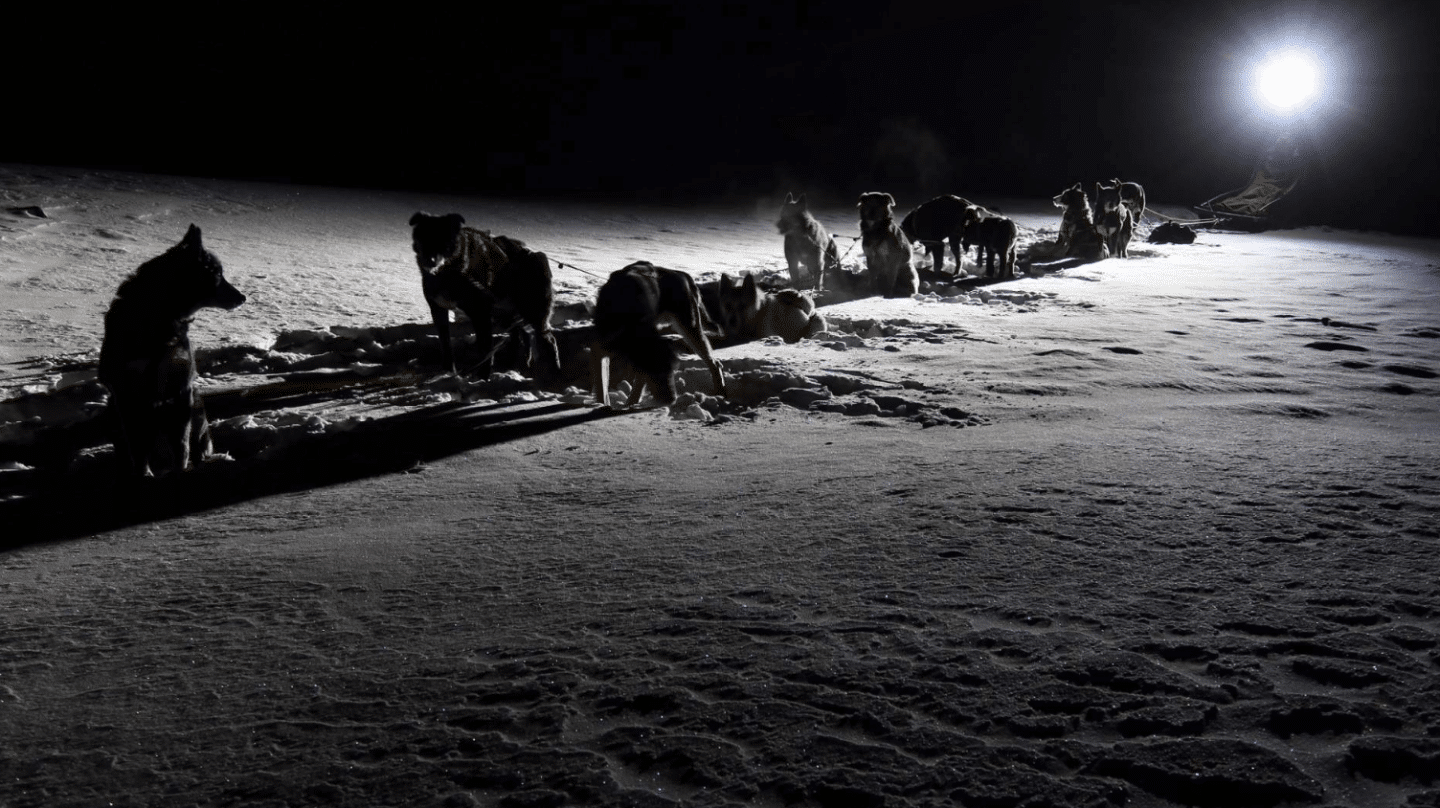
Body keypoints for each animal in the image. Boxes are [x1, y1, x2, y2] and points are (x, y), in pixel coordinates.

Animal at [98, 223, 244, 475]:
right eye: (217, 274)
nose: (243, 297)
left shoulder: (181, 389)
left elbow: (181, 446)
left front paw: (181, 470)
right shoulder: (128, 395)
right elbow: (138, 448)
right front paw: (144, 474)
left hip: (195, 403)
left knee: (197, 444)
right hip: (112, 410)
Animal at [411, 213, 561, 380]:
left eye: (445, 241)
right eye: (424, 238)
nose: (430, 261)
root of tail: (535, 253)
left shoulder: (480, 312)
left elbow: (485, 348)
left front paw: (483, 377)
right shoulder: (438, 309)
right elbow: (446, 346)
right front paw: (448, 372)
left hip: (531, 311)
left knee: (548, 340)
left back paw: (555, 372)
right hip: (506, 314)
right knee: (519, 335)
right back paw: (513, 364)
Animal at [587, 259, 725, 406]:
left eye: (672, 372)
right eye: (657, 374)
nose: (672, 400)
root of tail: (684, 275)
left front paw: (630, 402)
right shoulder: (600, 349)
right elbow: (602, 385)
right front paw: (603, 404)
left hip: (690, 330)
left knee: (714, 363)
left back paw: (720, 391)